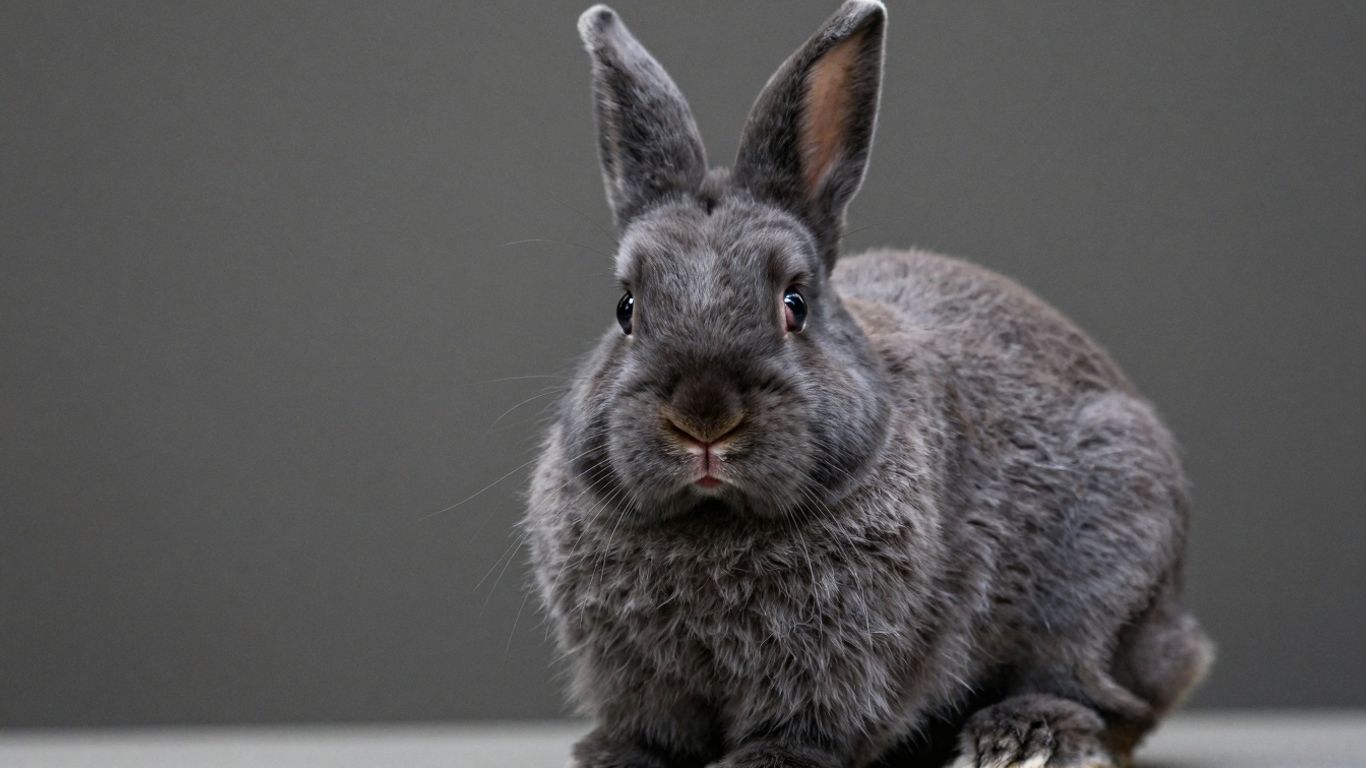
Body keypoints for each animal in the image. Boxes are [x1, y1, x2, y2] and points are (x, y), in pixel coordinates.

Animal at [523, 2, 1213, 767]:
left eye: (794, 304)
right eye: (626, 308)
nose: (704, 418)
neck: (714, 518)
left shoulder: (842, 661)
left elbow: (807, 721)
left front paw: (765, 762)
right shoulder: (637, 675)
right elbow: (652, 725)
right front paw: (615, 756)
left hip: (1109, 570)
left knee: (1099, 691)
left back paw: (1021, 739)